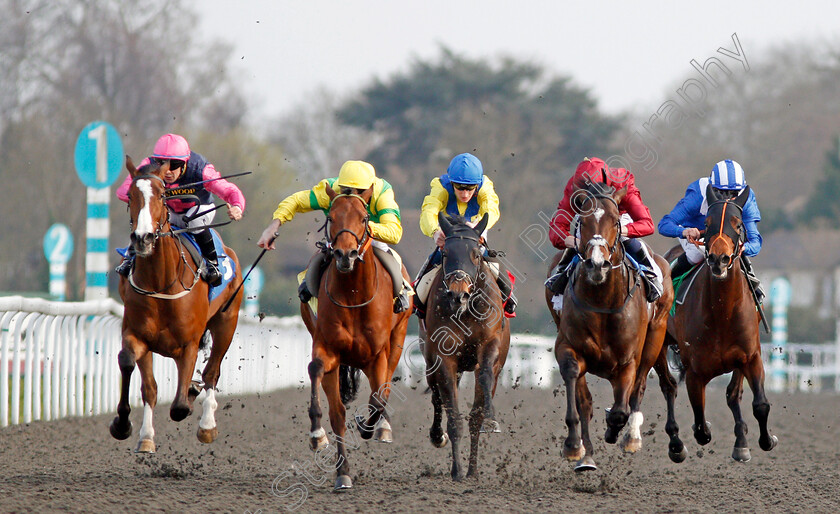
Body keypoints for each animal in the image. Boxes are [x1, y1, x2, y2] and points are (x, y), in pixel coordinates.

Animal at [109, 154, 243, 450]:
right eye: (131, 195)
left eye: (161, 195)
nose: (143, 238)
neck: (161, 283)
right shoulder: (137, 335)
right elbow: (137, 374)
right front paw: (130, 429)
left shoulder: (188, 344)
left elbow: (180, 406)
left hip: (226, 323)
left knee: (212, 372)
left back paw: (207, 425)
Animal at [300, 183, 412, 488]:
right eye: (331, 217)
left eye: (364, 218)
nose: (345, 255)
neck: (353, 295)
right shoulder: (328, 350)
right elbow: (317, 373)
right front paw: (318, 436)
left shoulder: (377, 356)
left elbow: (379, 397)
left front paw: (368, 426)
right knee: (338, 412)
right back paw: (342, 471)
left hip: (397, 340)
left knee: (383, 390)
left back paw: (380, 427)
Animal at [424, 211, 508, 476]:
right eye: (446, 253)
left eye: (475, 253)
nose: (458, 294)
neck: (465, 311)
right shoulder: (444, 359)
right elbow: (452, 416)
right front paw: (457, 471)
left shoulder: (490, 346)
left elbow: (484, 378)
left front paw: (490, 419)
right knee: (436, 396)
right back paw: (438, 437)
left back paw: (473, 469)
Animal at [548, 180, 680, 468]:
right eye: (582, 221)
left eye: (615, 220)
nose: (597, 264)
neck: (602, 301)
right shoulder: (567, 346)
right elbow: (577, 389)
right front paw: (574, 446)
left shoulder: (629, 360)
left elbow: (622, 408)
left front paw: (616, 428)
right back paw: (587, 454)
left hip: (655, 338)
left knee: (643, 388)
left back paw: (632, 437)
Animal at [664, 183, 780, 460]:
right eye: (707, 223)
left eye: (738, 224)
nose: (719, 259)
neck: (722, 312)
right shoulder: (695, 371)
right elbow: (700, 424)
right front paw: (700, 429)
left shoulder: (750, 356)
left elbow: (758, 404)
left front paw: (764, 440)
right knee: (668, 386)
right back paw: (675, 444)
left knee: (732, 395)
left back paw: (741, 441)